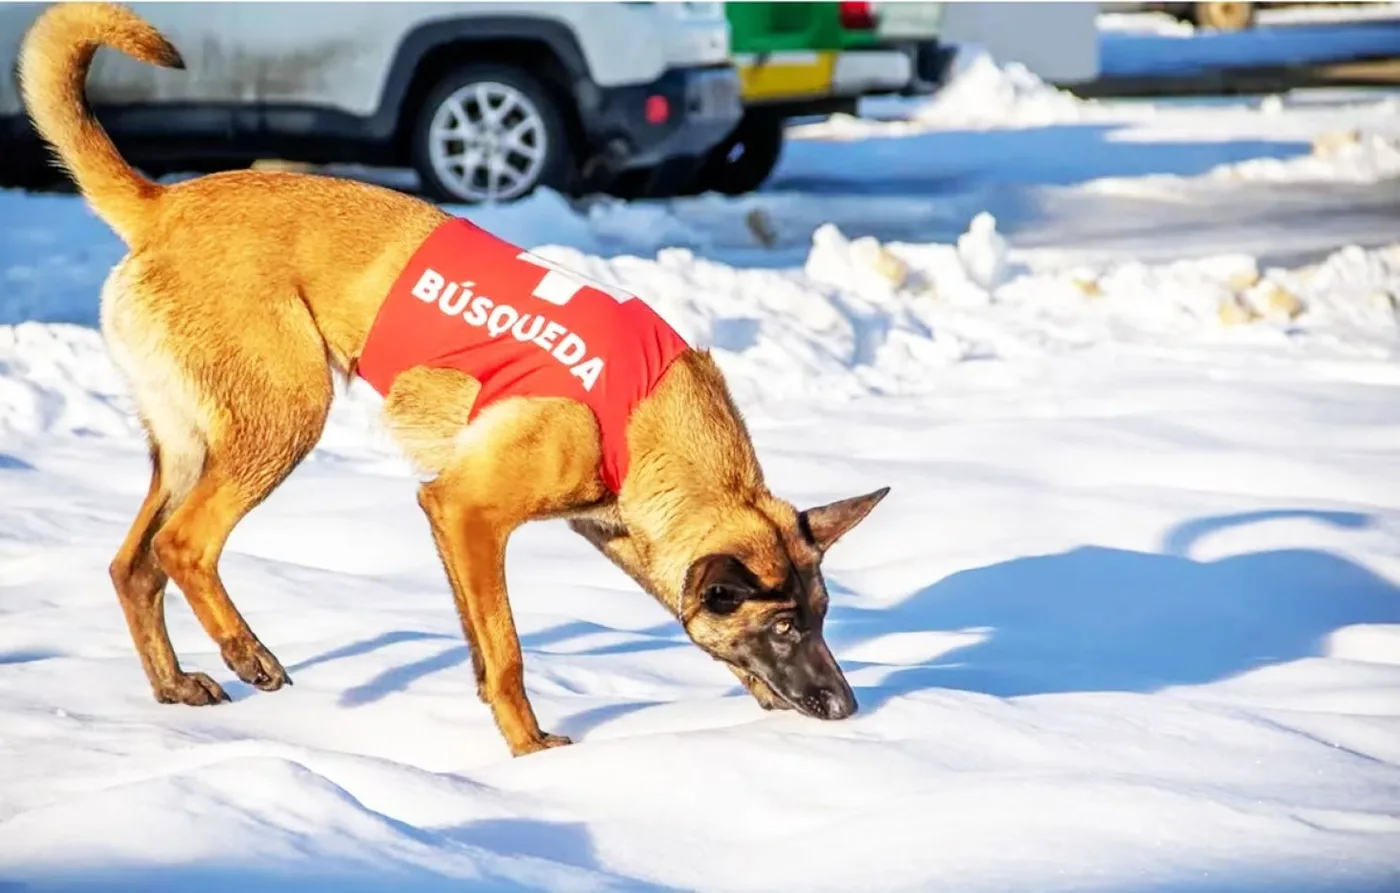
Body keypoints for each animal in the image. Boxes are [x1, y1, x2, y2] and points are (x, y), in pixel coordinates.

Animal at [19, 3, 884, 761]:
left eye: (822, 616)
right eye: (785, 628)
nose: (846, 707)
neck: (645, 410)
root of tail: (162, 205)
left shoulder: (599, 535)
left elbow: (529, 636)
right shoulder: (467, 511)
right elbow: (506, 650)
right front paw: (531, 752)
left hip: (190, 444)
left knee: (134, 565)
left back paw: (175, 686)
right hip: (288, 414)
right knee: (183, 545)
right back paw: (246, 651)